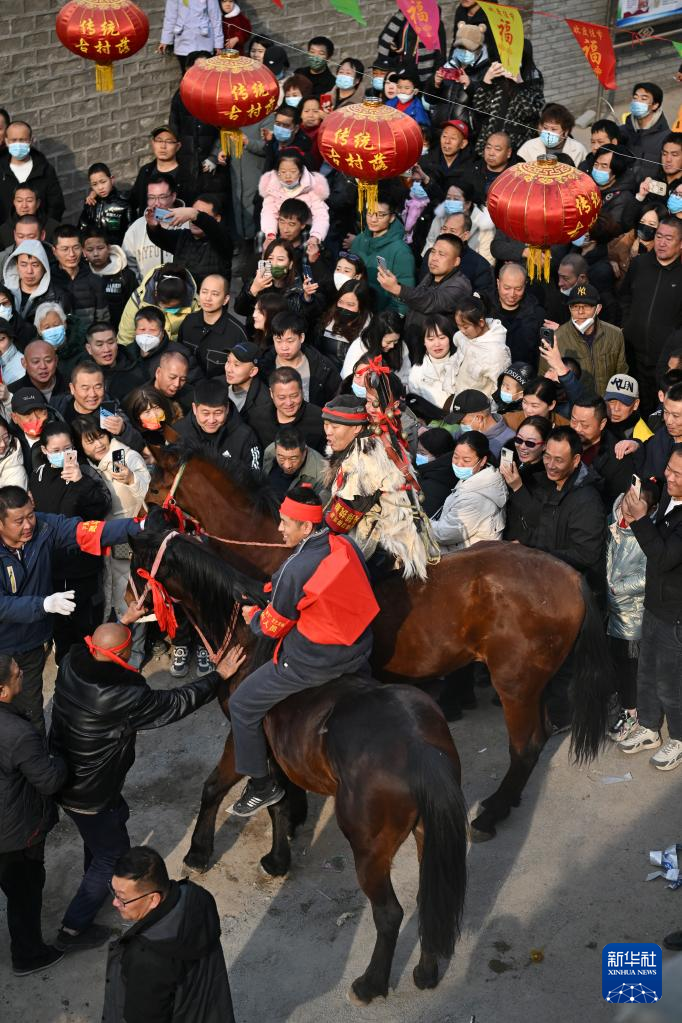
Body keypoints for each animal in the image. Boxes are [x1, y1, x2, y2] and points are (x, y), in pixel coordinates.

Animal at [129, 523, 469, 1005]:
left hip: (369, 848)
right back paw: (425, 971)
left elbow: (220, 788)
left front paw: (200, 851)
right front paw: (280, 850)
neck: (250, 640)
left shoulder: (242, 735)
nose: (125, 608)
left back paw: (370, 983)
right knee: (428, 897)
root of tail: (421, 750)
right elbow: (280, 802)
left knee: (388, 913)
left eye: (136, 565)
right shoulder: (275, 754)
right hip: (425, 833)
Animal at [145, 445, 613, 844]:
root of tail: (571, 576)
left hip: (514, 682)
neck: (276, 552)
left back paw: (492, 812)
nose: (142, 527)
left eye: (151, 489)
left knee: (526, 745)